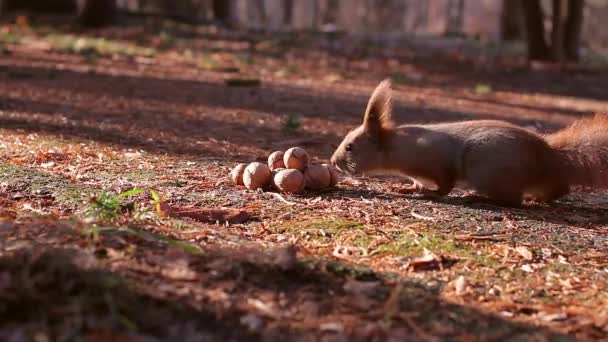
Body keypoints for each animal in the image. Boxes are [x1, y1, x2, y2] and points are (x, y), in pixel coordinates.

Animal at [330, 79, 608, 207]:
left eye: (350, 147)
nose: (333, 162)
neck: (397, 147)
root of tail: (547, 156)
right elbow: (417, 183)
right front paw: (405, 188)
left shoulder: (436, 162)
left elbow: (445, 184)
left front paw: (430, 193)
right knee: (558, 188)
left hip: (485, 168)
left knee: (513, 200)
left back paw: (478, 197)